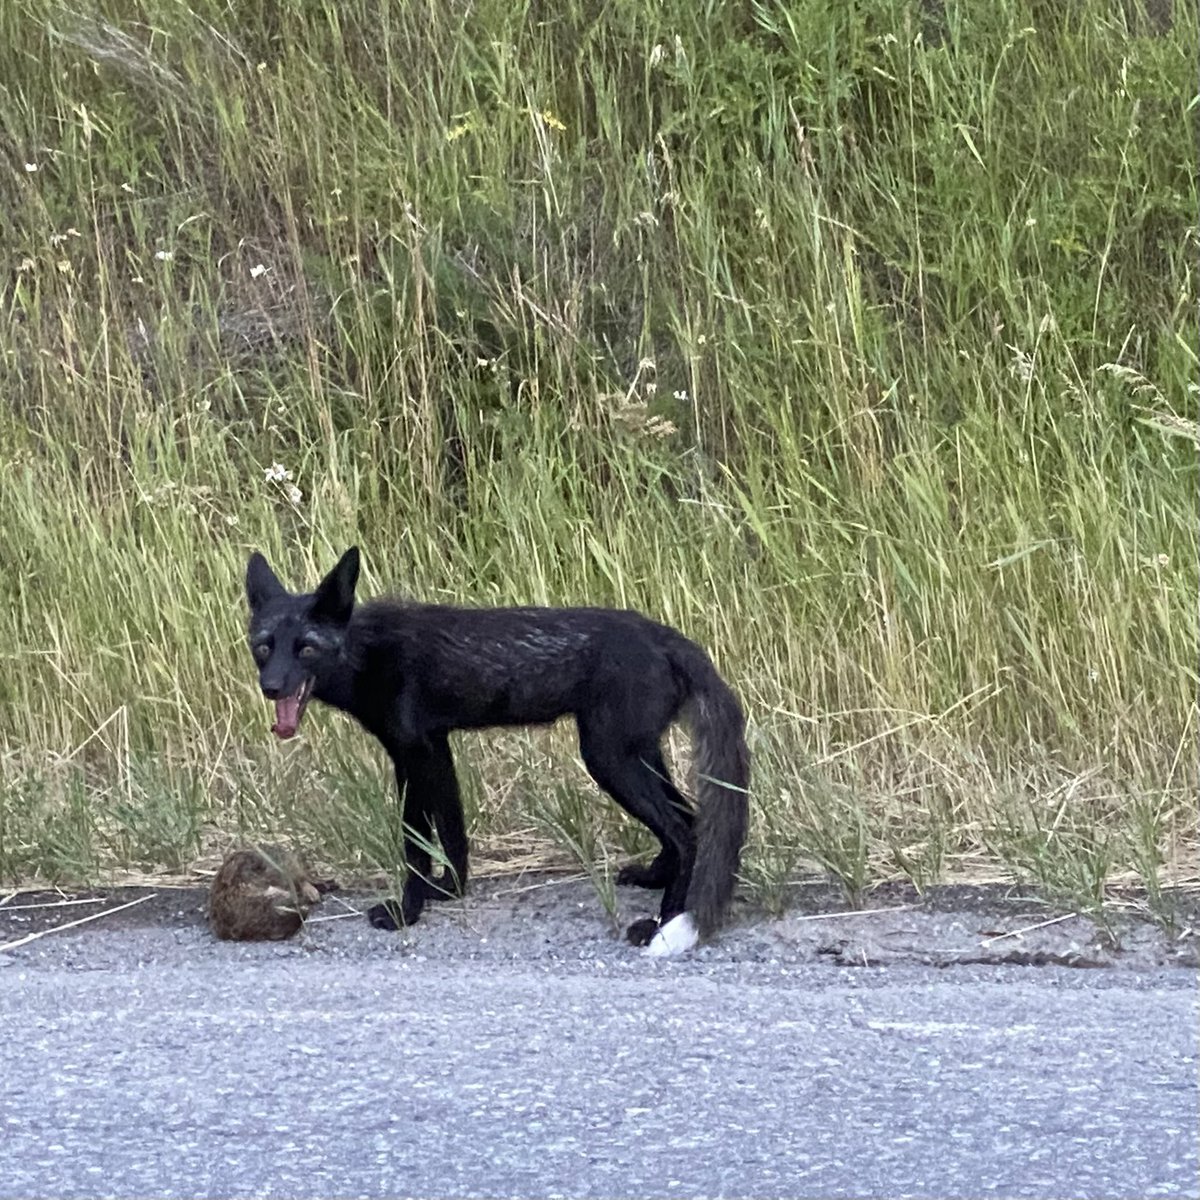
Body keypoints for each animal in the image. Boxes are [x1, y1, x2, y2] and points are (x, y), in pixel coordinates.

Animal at [243, 546, 750, 955]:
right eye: (264, 648)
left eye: (306, 649)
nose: (271, 688)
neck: (367, 655)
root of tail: (664, 635)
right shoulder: (430, 749)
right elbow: (449, 836)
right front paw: (447, 892)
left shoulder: (414, 752)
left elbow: (417, 844)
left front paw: (408, 911)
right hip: (637, 754)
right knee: (689, 819)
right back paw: (656, 881)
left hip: (609, 759)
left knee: (685, 832)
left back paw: (665, 919)